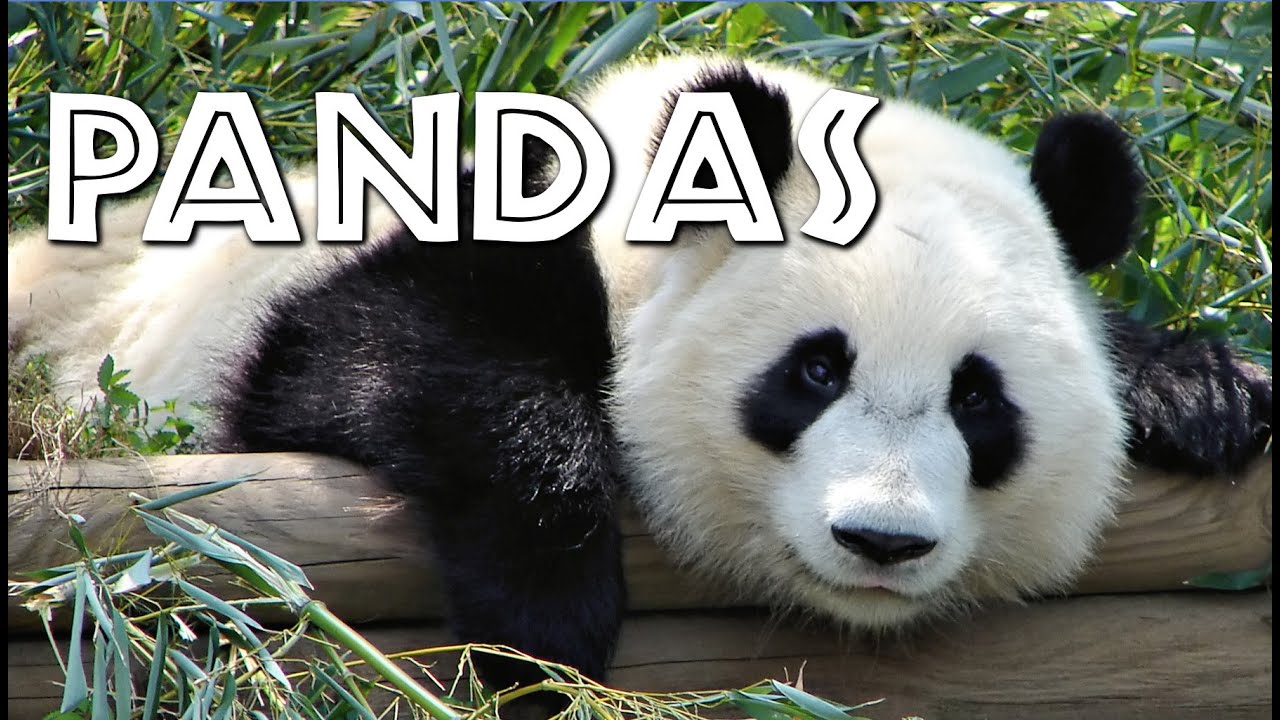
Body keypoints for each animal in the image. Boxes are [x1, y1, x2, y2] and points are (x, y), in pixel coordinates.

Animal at [8, 53, 1272, 692]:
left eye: (977, 399)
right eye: (814, 371)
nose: (880, 540)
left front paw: (1200, 393)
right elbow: (376, 358)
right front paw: (546, 613)